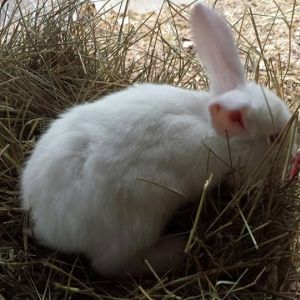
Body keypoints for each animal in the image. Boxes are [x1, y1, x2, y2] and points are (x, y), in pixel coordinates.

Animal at [20, 2, 296, 276]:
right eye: (274, 137)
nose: (294, 161)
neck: (217, 131)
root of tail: (45, 223)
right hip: (136, 227)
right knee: (110, 266)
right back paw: (175, 249)